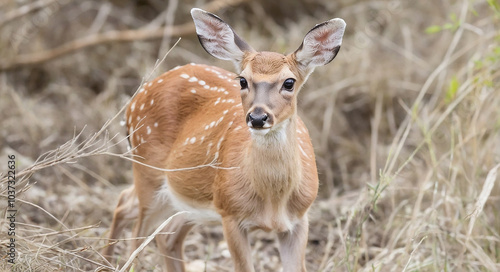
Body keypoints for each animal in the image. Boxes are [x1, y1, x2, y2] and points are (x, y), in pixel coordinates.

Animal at [103, 7, 346, 272]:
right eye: (242, 80)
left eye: (289, 82)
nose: (257, 117)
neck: (273, 201)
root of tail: (133, 101)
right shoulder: (230, 213)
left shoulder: (299, 219)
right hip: (147, 171)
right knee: (133, 222)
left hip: (185, 199)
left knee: (161, 231)